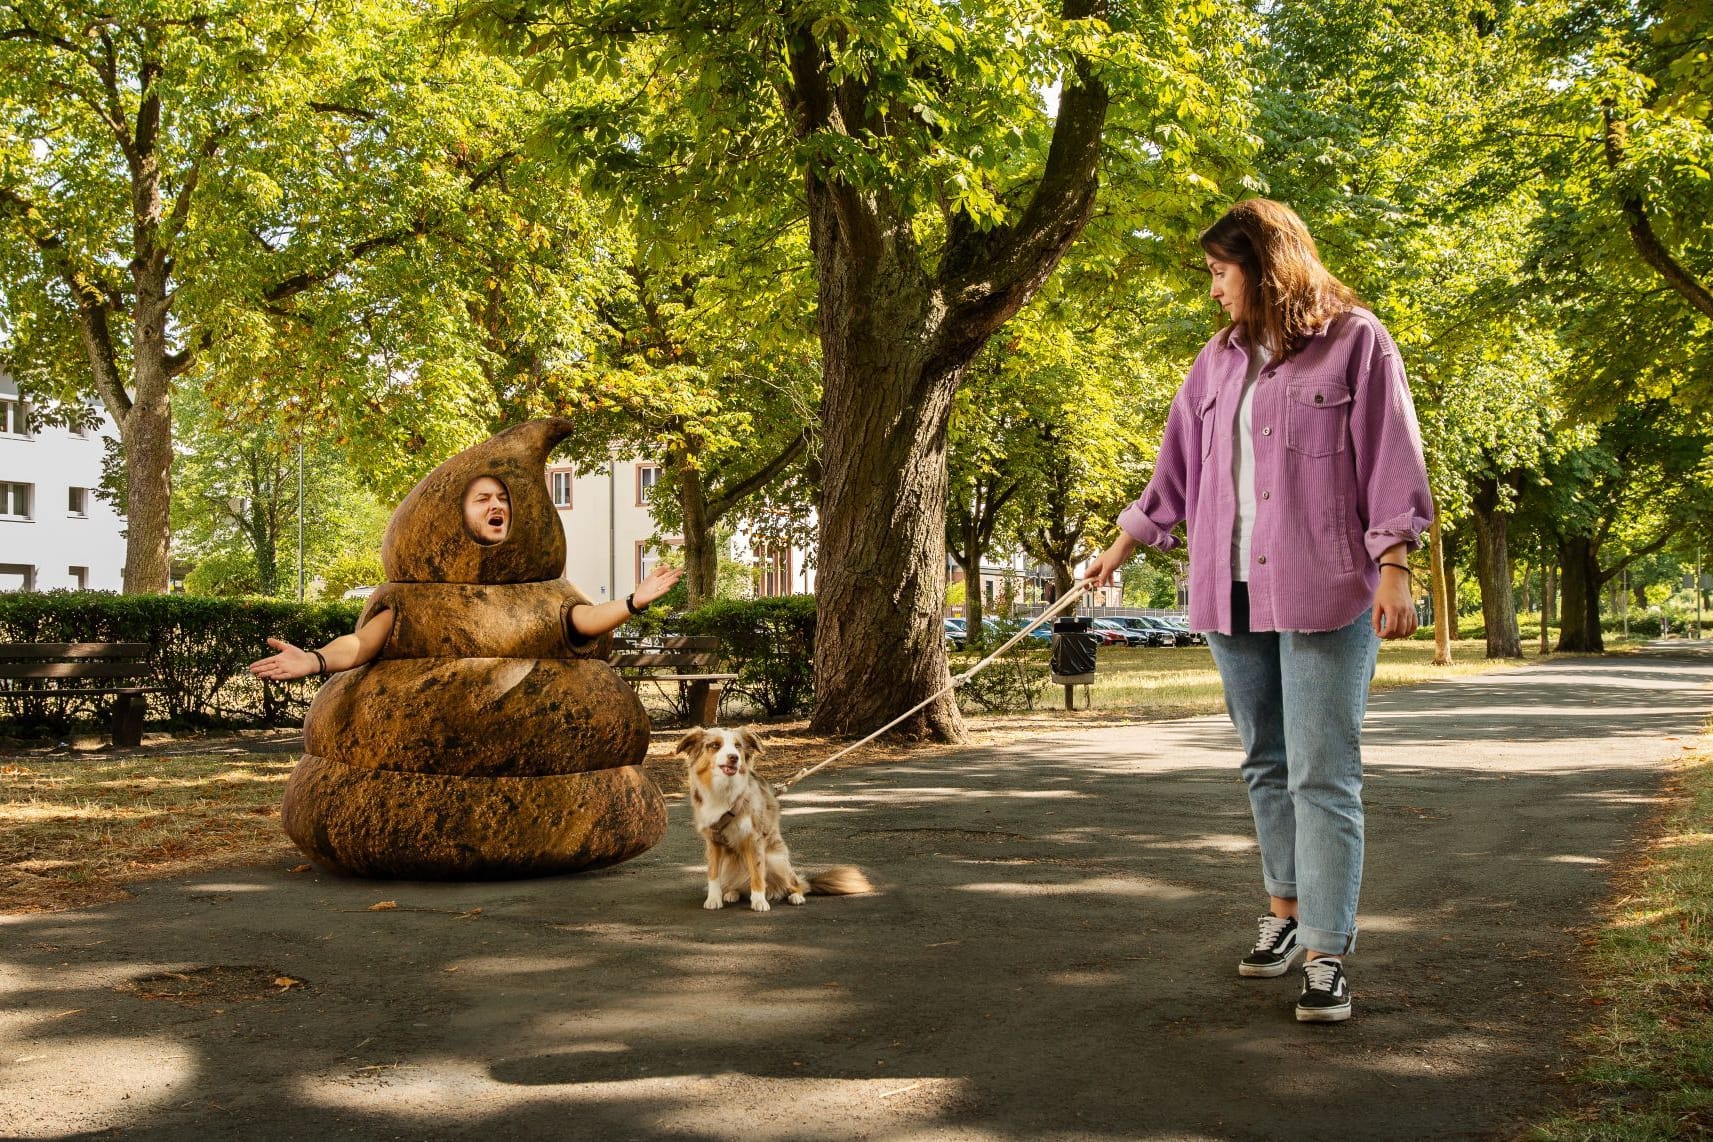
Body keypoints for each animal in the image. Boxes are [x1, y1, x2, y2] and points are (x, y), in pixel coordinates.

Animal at [674, 732, 870, 910]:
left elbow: (757, 874)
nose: (734, 758)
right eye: (714, 745)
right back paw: (731, 893)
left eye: (738, 746)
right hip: (730, 865)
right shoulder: (713, 841)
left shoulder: (754, 839)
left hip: (776, 860)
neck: (724, 791)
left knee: (796, 884)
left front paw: (759, 902)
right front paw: (714, 899)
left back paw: (795, 896)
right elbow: (713, 874)